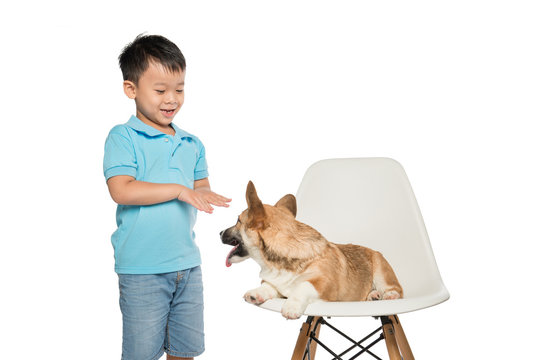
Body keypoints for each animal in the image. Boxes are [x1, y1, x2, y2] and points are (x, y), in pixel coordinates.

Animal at [220, 181, 404, 320]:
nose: (220, 233)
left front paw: (292, 306)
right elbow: (269, 286)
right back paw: (373, 296)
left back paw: (388, 295)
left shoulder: (325, 283)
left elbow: (303, 286)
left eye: (237, 221)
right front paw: (256, 293)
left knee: (396, 289)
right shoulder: (276, 283)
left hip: (381, 269)